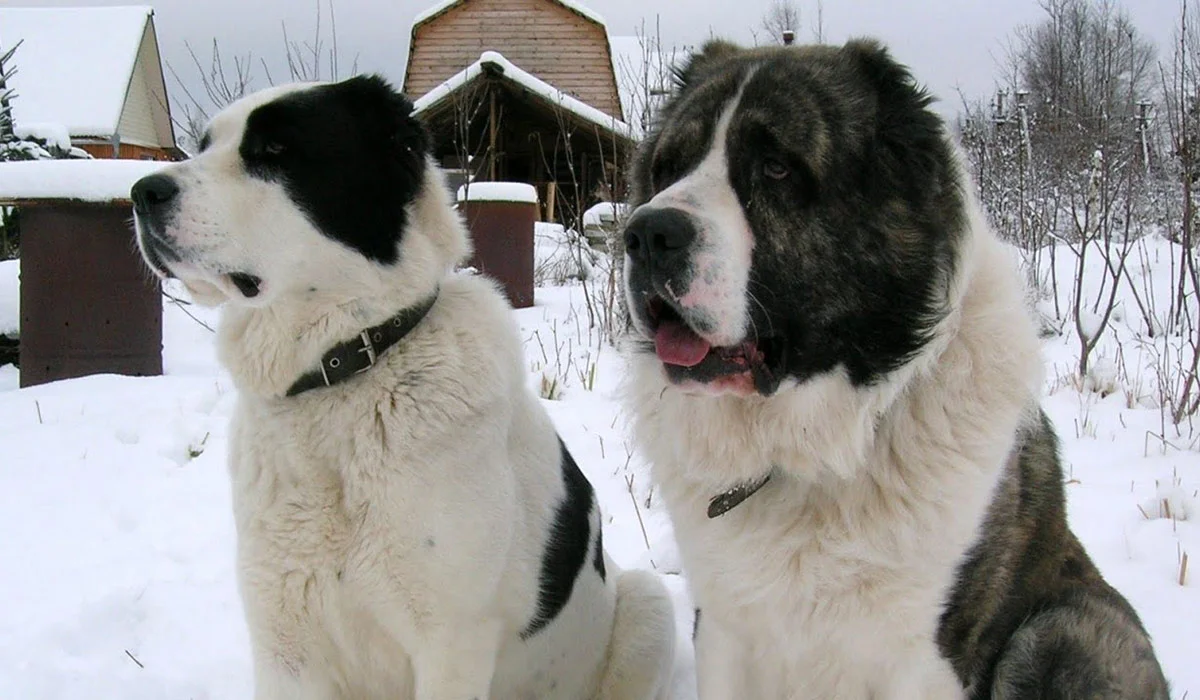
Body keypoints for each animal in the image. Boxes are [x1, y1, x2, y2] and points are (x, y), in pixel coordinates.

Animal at [133, 76, 676, 700]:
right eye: (204, 146)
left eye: (274, 150)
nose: (142, 191)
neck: (344, 370)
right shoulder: (285, 640)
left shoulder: (451, 643)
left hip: (647, 603)